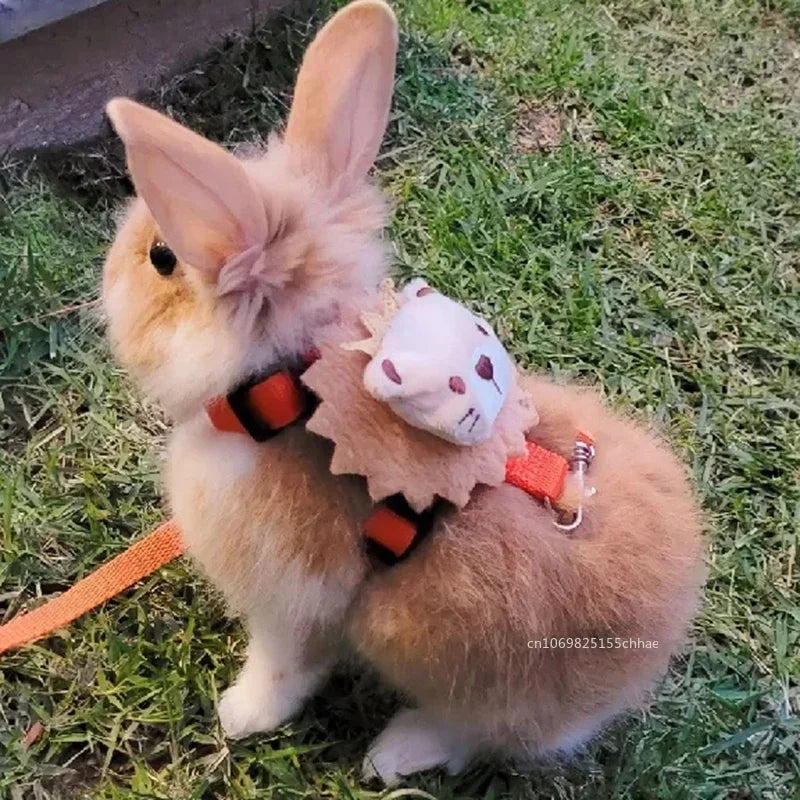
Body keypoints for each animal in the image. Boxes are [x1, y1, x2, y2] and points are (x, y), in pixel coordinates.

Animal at [101, 0, 708, 788]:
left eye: (161, 257)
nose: (107, 276)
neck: (283, 390)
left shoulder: (291, 605)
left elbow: (285, 667)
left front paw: (241, 715)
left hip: (458, 670)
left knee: (478, 734)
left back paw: (396, 752)